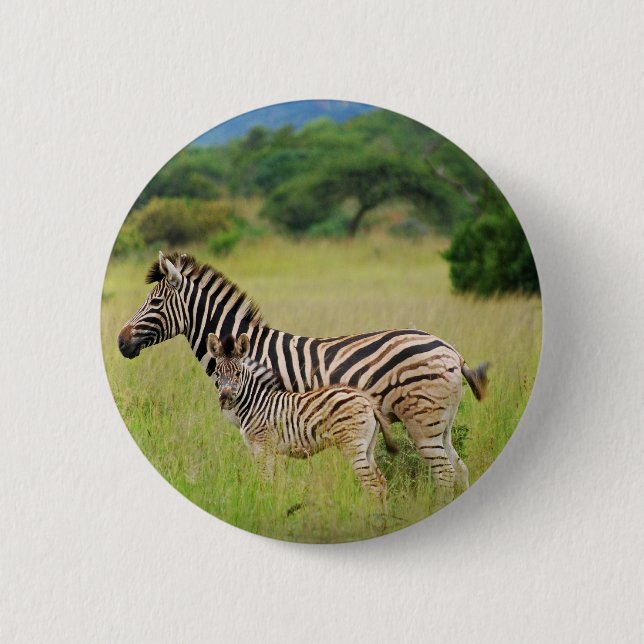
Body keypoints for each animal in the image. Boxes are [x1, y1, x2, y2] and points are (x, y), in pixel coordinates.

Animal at [207, 332, 398, 501]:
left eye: (238, 373)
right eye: (217, 373)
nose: (225, 398)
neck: (255, 402)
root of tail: (366, 399)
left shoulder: (263, 445)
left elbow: (265, 482)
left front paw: (265, 506)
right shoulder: (260, 449)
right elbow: (267, 481)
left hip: (352, 445)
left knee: (372, 486)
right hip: (367, 447)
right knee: (382, 483)